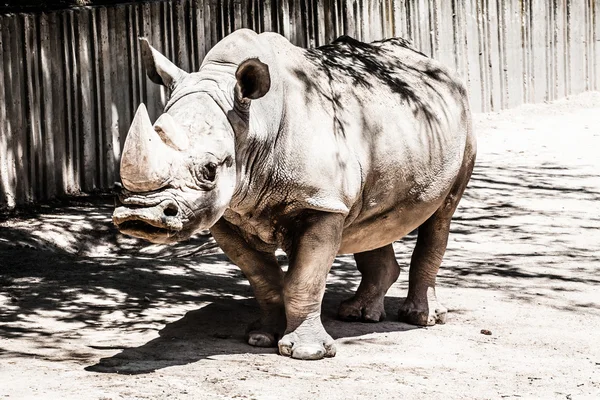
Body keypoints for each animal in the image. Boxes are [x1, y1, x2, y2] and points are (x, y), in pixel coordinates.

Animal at [112, 28, 476, 360]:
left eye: (210, 169)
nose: (140, 216)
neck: (253, 126)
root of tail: (435, 63)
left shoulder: (321, 204)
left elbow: (305, 278)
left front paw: (307, 352)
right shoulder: (228, 214)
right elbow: (263, 278)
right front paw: (261, 337)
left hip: (464, 122)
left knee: (442, 214)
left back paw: (422, 318)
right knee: (370, 222)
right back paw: (357, 314)